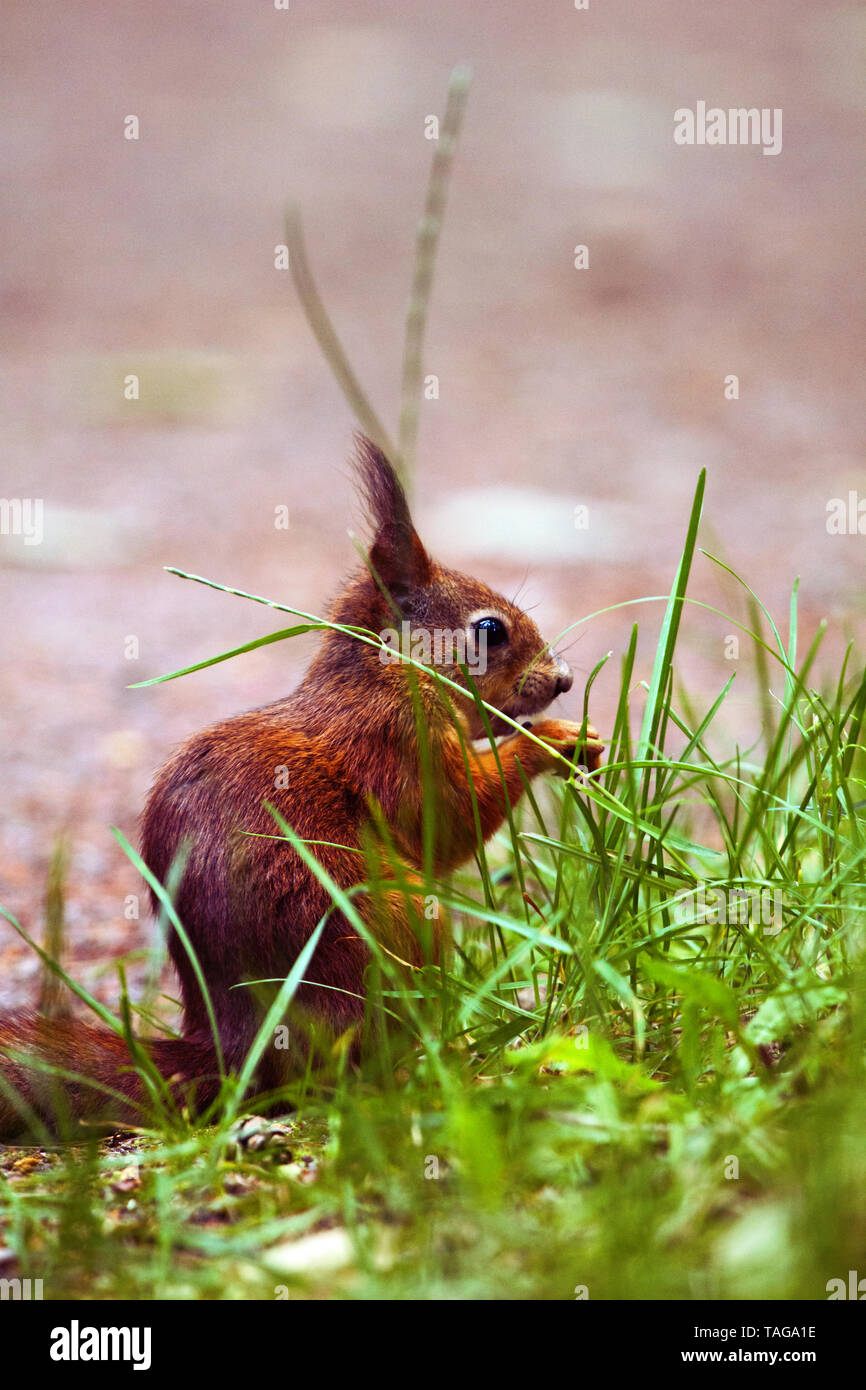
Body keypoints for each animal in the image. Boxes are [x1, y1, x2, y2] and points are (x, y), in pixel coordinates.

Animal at [0, 439, 603, 1134]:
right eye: (489, 631)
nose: (562, 680)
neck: (383, 677)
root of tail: (236, 1053)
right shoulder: (394, 745)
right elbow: (446, 821)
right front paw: (553, 739)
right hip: (385, 925)